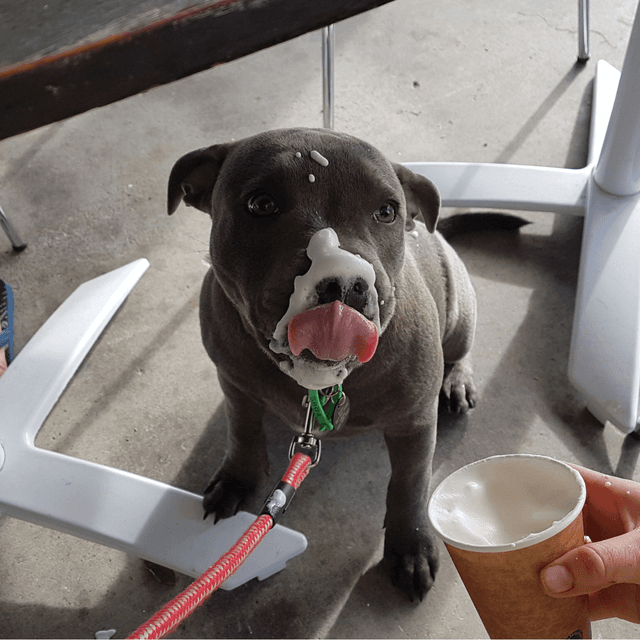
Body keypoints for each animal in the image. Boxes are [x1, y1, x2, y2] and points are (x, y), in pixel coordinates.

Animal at [168, 127, 478, 604]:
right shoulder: (234, 381)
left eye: (387, 211)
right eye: (261, 203)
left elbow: (408, 486)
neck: (318, 382)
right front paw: (238, 478)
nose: (346, 280)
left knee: (461, 349)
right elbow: (242, 430)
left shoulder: (414, 422)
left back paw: (457, 381)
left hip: (460, 312)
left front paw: (410, 547)